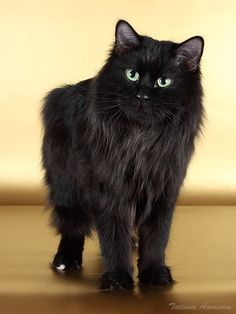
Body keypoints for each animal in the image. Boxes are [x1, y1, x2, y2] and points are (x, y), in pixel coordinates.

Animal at [40, 19, 203, 290]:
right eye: (132, 74)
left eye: (163, 82)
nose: (142, 95)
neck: (141, 138)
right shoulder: (108, 189)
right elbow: (113, 237)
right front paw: (117, 278)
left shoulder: (164, 190)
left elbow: (157, 239)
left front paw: (154, 272)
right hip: (66, 186)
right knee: (72, 226)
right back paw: (66, 258)